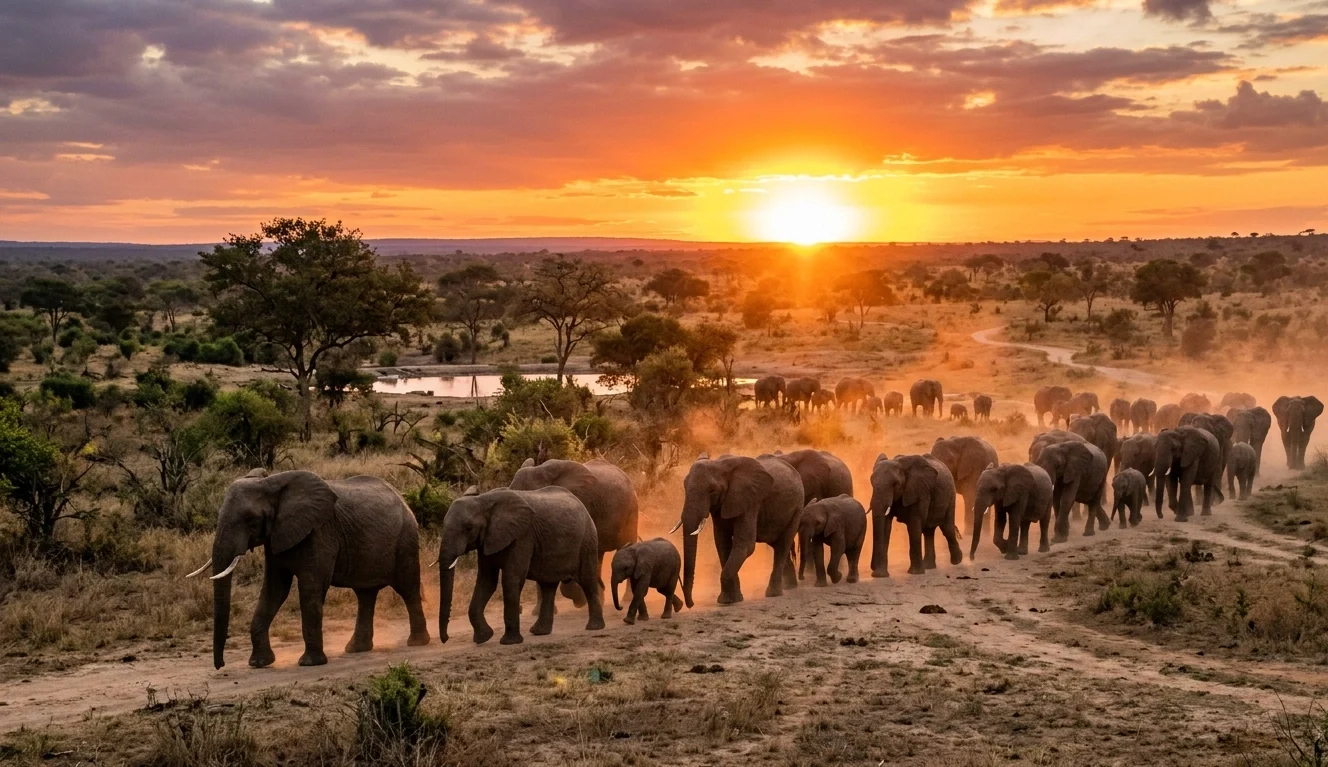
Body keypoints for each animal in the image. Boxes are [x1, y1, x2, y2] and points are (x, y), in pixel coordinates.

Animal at [193, 470, 429, 670]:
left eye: (251, 520)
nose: (220, 665)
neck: (272, 483)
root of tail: (403, 499)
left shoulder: (319, 532)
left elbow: (310, 588)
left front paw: (309, 663)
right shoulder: (276, 537)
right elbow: (274, 590)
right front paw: (259, 664)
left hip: (406, 539)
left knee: (407, 588)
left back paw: (417, 643)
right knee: (365, 595)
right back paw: (356, 649)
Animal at [437, 486, 603, 645]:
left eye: (468, 527)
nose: (445, 639)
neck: (482, 500)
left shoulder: (522, 536)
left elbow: (512, 580)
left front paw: (509, 642)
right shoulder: (487, 540)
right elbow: (486, 581)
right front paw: (483, 638)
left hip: (587, 540)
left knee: (587, 581)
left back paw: (594, 627)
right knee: (547, 586)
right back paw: (539, 632)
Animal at [510, 457, 638, 610]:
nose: (520, 609)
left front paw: (579, 600)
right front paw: (538, 611)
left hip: (632, 510)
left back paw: (626, 599)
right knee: (597, 555)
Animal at [676, 453, 804, 606]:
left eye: (712, 490)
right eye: (684, 486)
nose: (690, 604)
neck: (720, 464)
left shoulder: (750, 502)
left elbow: (745, 545)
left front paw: (726, 601)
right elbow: (722, 543)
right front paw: (732, 599)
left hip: (797, 507)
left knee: (783, 544)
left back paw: (774, 593)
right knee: (776, 543)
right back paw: (790, 586)